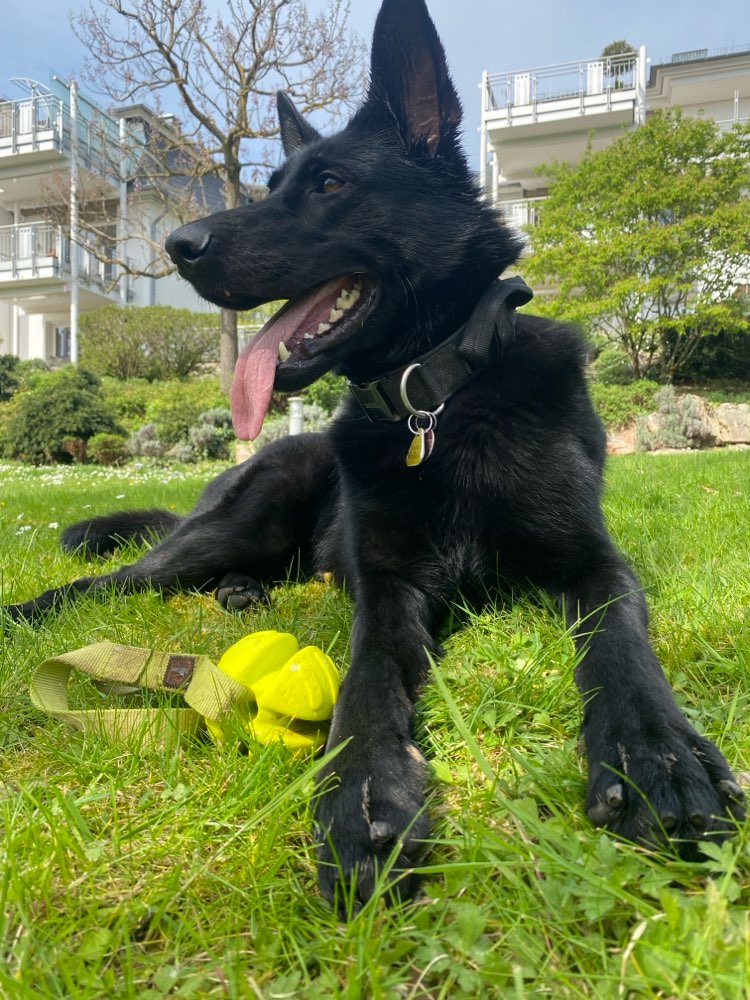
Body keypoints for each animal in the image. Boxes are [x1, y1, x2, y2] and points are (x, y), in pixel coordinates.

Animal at [4, 0, 748, 908]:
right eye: (270, 187)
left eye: (329, 185)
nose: (178, 244)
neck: (437, 402)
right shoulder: (389, 591)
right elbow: (365, 685)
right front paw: (362, 790)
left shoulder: (595, 565)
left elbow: (623, 649)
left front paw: (655, 751)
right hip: (245, 513)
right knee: (112, 580)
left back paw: (243, 593)